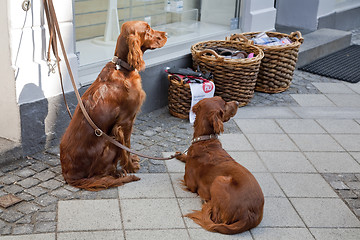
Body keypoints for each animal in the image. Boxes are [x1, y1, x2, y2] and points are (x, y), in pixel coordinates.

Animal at [60, 22, 167, 191]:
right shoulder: (125, 123)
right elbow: (127, 147)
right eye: (148, 29)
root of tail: (70, 176)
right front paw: (130, 167)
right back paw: (118, 173)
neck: (122, 69)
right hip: (110, 142)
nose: (166, 34)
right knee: (103, 174)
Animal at [176, 96, 264, 234]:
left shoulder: (190, 183)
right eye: (225, 103)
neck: (205, 140)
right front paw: (180, 155)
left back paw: (206, 202)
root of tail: (249, 216)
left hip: (219, 180)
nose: (238, 102)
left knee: (215, 217)